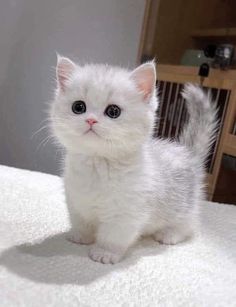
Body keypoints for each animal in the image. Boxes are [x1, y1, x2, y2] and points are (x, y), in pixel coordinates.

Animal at [50, 56, 218, 264]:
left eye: (113, 111)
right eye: (78, 107)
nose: (91, 120)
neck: (98, 165)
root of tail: (187, 153)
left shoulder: (127, 212)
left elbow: (114, 235)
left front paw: (105, 252)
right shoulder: (75, 200)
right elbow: (81, 221)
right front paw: (81, 236)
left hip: (184, 205)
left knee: (189, 224)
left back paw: (170, 234)